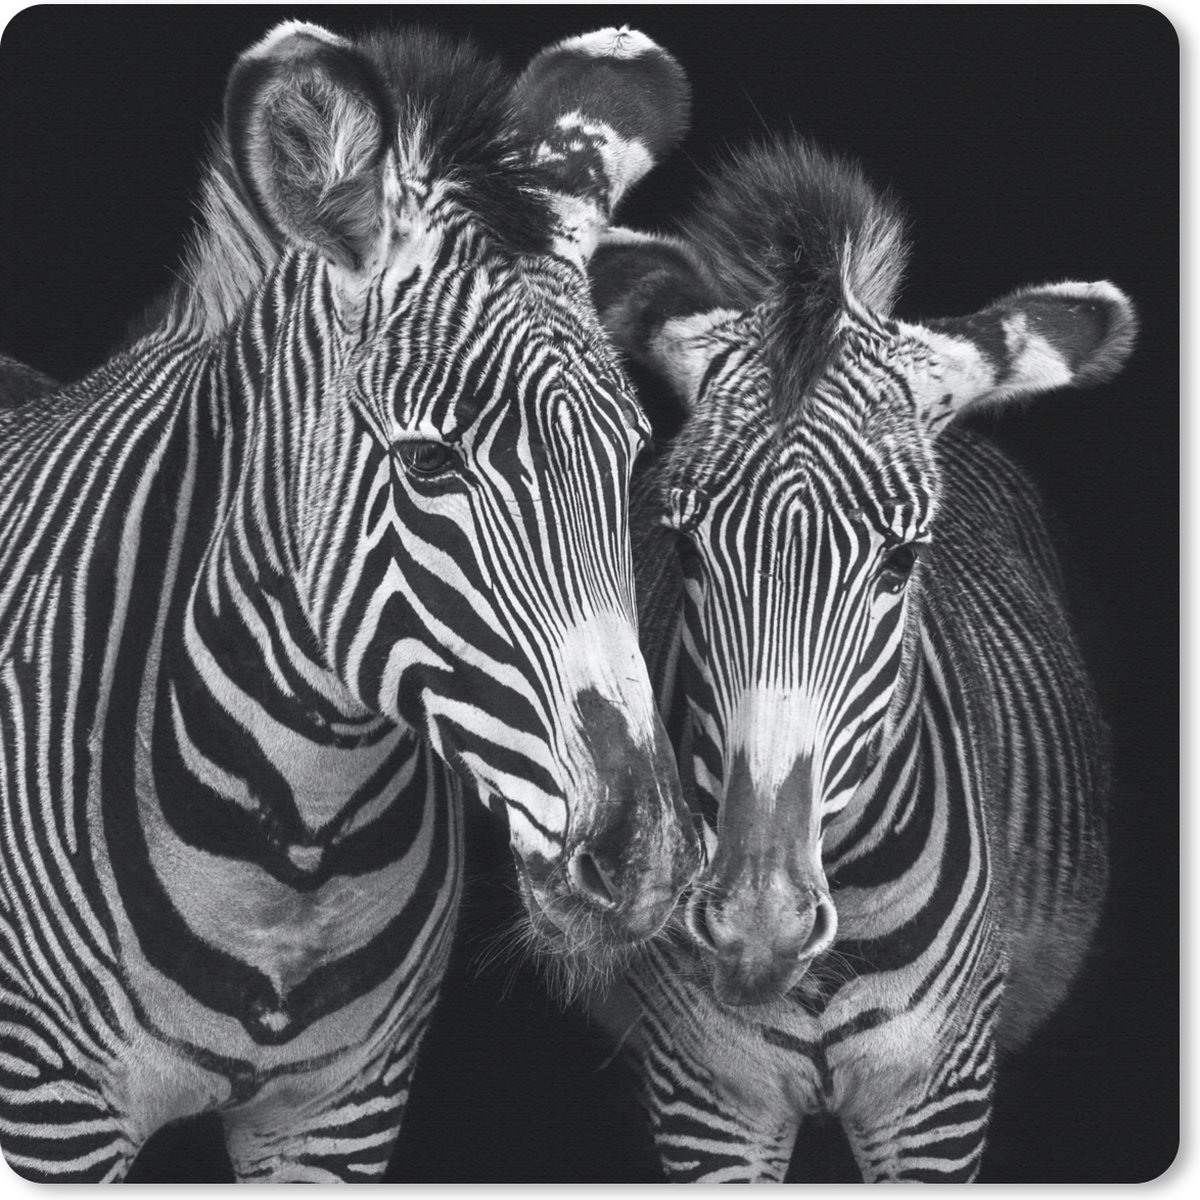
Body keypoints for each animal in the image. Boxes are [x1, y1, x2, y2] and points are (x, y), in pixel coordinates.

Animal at [0, 22, 701, 1182]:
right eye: (427, 463)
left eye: (630, 457)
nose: (641, 858)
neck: (295, 845)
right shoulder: (47, 1109)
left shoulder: (342, 1113)